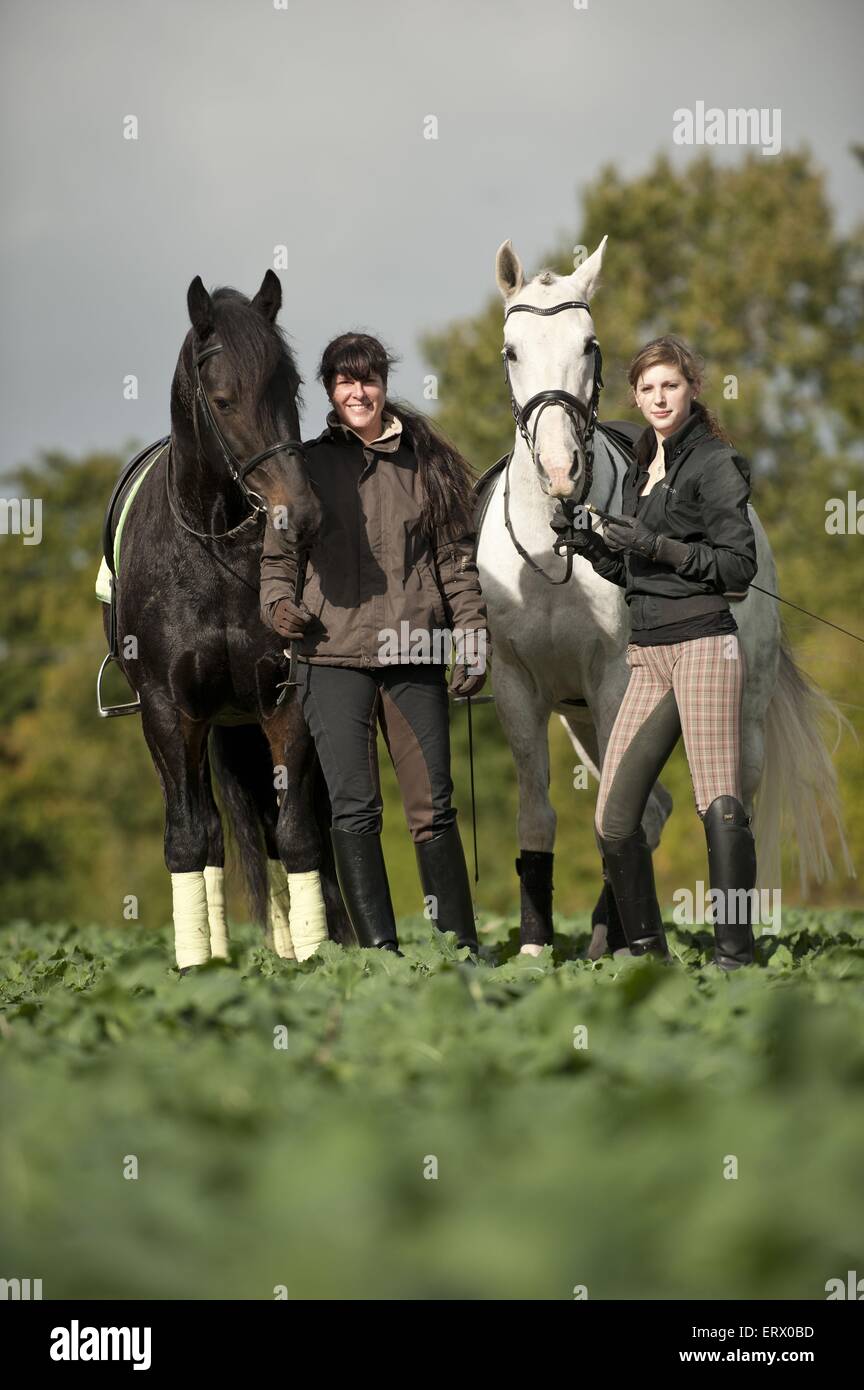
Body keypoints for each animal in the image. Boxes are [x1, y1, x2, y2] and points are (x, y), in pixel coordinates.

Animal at [104, 271, 352, 967]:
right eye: (221, 399)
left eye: (289, 388)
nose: (302, 515)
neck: (213, 554)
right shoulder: (169, 712)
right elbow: (190, 839)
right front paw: (198, 969)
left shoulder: (283, 701)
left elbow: (297, 834)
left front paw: (322, 960)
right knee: (213, 832)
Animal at [475, 236, 855, 956]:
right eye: (511, 351)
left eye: (589, 344)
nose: (562, 471)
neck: (551, 551)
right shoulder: (518, 687)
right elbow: (539, 815)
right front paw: (534, 952)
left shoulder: (615, 682)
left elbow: (614, 815)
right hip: (583, 722)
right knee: (647, 811)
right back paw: (607, 937)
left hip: (736, 710)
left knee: (718, 801)